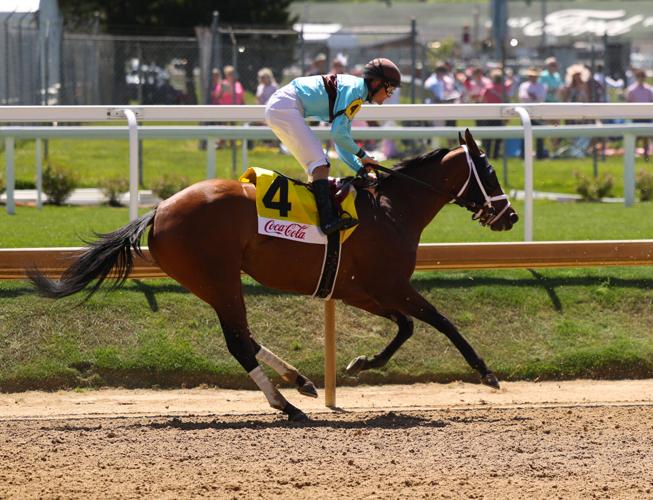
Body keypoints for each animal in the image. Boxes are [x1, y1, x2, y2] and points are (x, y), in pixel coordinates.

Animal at [28, 129, 518, 422]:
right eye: (489, 171)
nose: (510, 216)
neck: (391, 209)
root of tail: (159, 209)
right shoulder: (391, 284)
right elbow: (440, 322)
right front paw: (486, 372)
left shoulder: (360, 290)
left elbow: (406, 327)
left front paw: (361, 363)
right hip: (220, 278)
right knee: (237, 342)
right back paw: (285, 403)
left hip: (210, 283)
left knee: (242, 335)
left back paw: (299, 383)